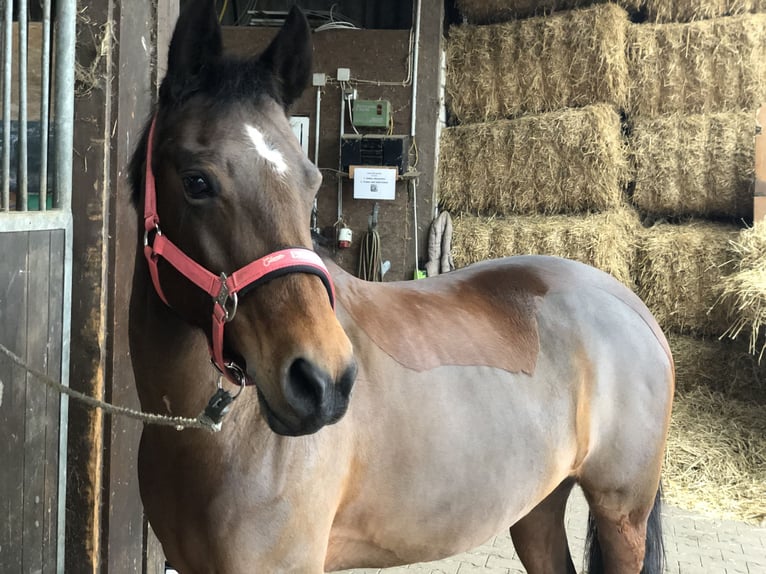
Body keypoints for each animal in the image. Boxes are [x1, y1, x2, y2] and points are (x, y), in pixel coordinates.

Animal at [129, 2, 676, 572]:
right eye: (196, 182)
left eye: (311, 182)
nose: (322, 383)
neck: (207, 434)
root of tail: (632, 306)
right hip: (537, 509)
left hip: (622, 518)